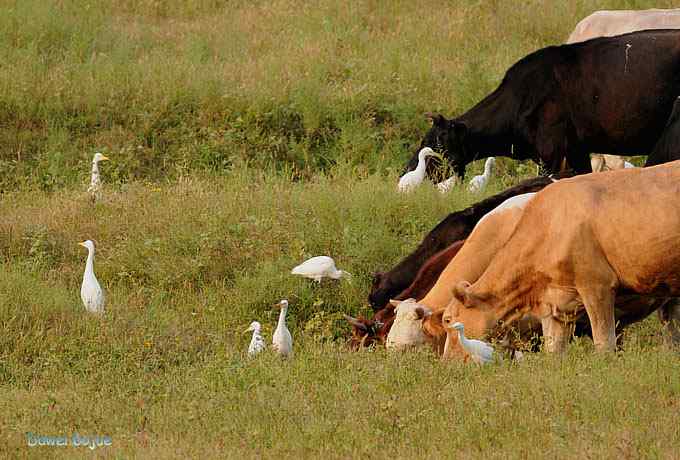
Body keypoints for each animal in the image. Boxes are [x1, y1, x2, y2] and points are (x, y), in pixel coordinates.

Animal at [444, 162, 680, 356]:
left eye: (447, 320)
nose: (446, 362)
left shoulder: (597, 286)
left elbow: (604, 343)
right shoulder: (556, 303)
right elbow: (554, 351)